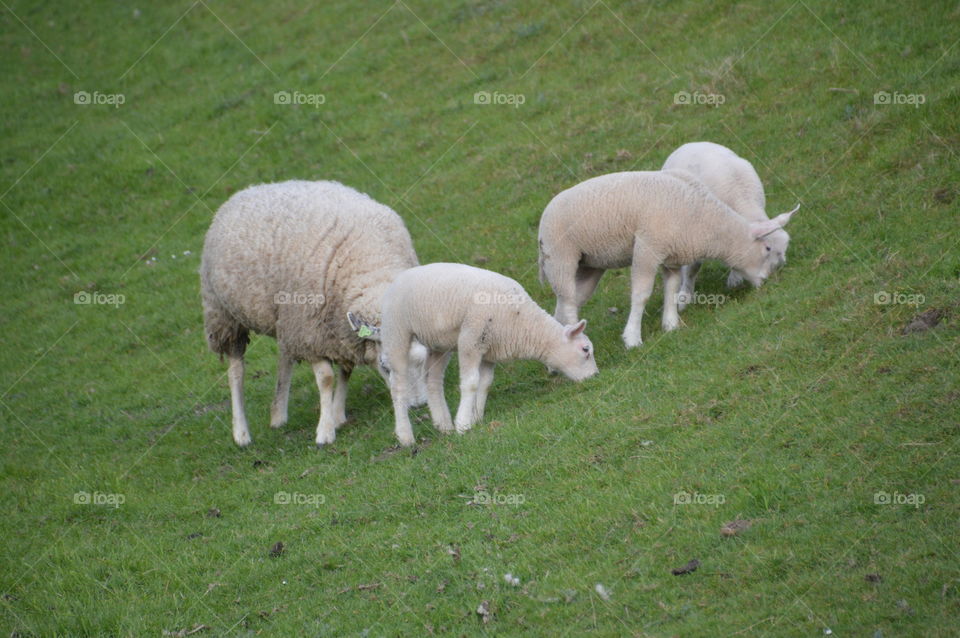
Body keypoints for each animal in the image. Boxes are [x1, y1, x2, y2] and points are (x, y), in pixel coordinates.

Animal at [200, 179, 427, 447]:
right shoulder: (312, 331)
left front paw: (337, 414)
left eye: (423, 360)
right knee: (236, 371)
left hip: (286, 319)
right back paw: (241, 433)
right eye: (386, 367)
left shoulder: (336, 330)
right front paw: (325, 432)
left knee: (285, 354)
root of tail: (247, 190)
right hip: (225, 315)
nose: (418, 405)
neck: (373, 271)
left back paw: (278, 414)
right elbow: (327, 378)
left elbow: (346, 369)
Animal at [353, 263, 599, 446]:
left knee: (432, 381)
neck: (523, 321)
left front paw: (477, 417)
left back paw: (443, 425)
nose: (596, 377)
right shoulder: (471, 338)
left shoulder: (489, 349)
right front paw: (464, 424)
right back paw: (406, 436)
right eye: (585, 350)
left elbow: (485, 383)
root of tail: (398, 279)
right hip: (397, 331)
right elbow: (471, 382)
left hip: (438, 344)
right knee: (398, 386)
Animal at [537, 170, 797, 348]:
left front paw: (671, 325)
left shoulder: (673, 257)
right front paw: (632, 338)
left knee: (565, 304)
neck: (706, 221)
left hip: (589, 265)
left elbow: (671, 288)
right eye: (767, 248)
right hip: (560, 257)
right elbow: (641, 295)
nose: (767, 283)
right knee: (569, 304)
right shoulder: (647, 248)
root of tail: (542, 222)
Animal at [661, 142, 794, 309]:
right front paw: (684, 298)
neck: (743, 199)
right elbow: (692, 268)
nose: (776, 274)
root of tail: (690, 144)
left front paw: (734, 279)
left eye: (786, 244)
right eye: (768, 248)